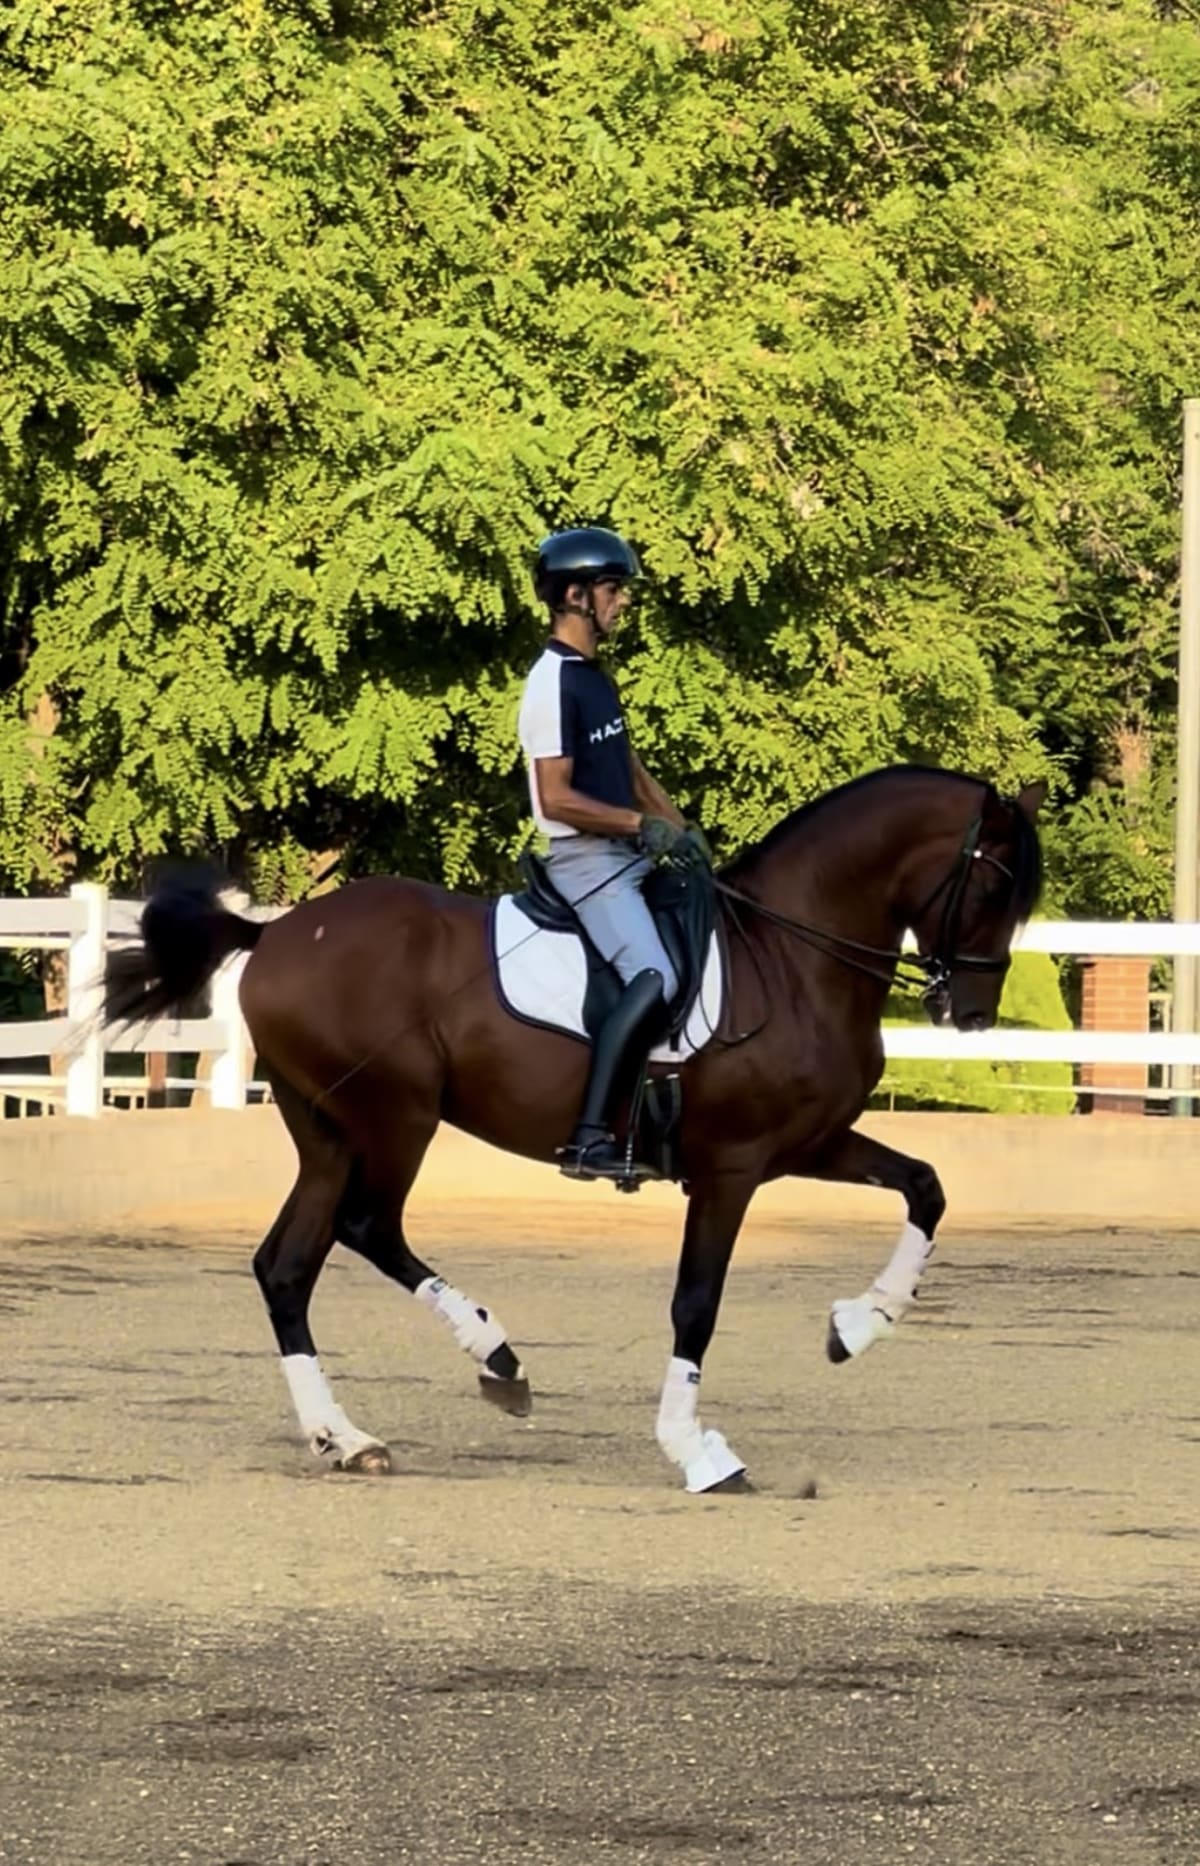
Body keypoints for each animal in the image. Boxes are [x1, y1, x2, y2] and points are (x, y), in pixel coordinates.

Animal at [113, 765, 1044, 1493]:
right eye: (996, 885)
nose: (971, 1011)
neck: (790, 958)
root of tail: (275, 930)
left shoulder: (809, 1143)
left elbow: (926, 1187)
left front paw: (857, 1326)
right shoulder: (731, 1168)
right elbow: (696, 1304)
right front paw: (697, 1452)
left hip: (327, 1133)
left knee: (287, 1267)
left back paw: (346, 1438)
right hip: (397, 1117)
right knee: (369, 1226)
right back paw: (495, 1357)